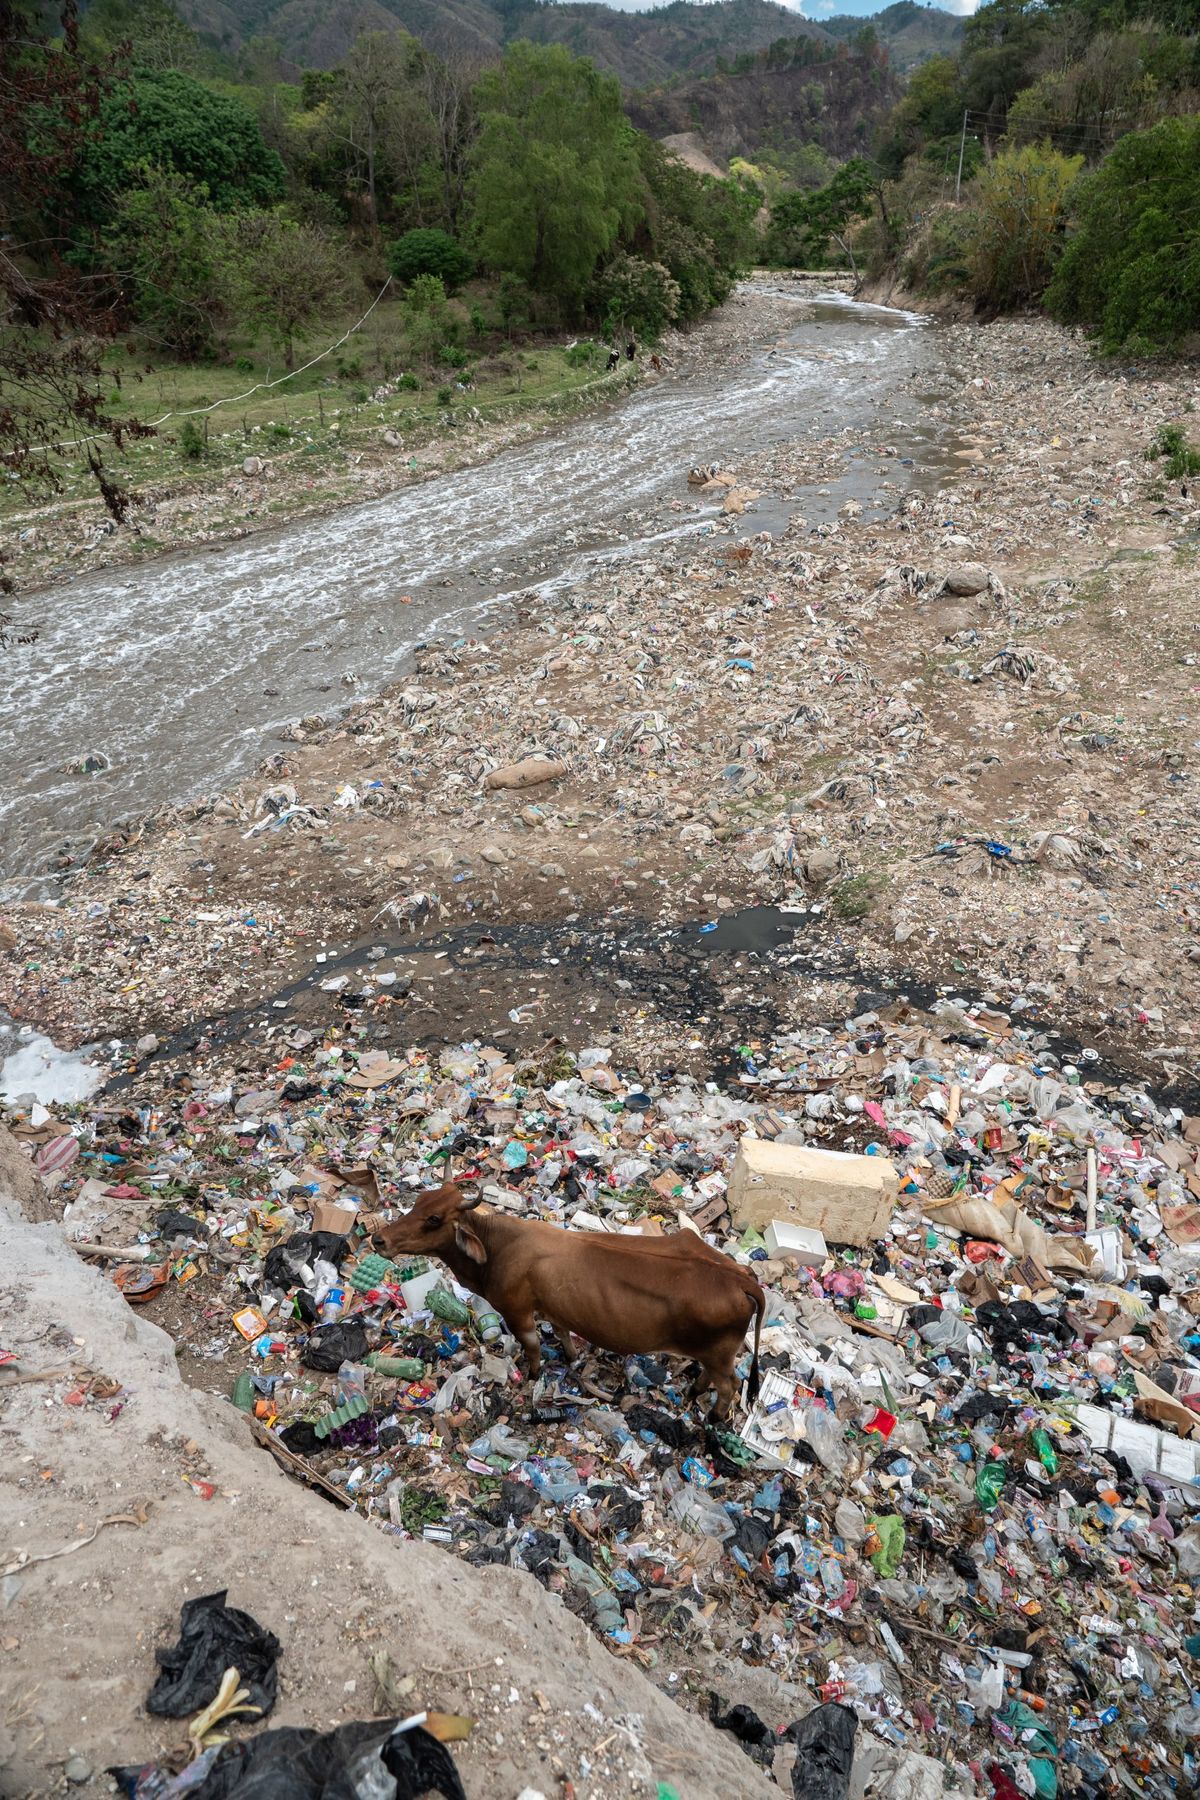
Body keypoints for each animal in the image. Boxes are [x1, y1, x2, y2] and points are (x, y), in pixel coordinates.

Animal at [376, 1180, 766, 1418]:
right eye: (419, 1201)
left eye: (434, 1218)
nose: (379, 1239)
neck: (498, 1246)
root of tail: (741, 1277)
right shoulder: (554, 1307)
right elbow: (562, 1332)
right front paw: (571, 1356)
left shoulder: (516, 1310)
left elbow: (532, 1345)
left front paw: (533, 1373)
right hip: (714, 1353)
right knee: (712, 1377)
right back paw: (692, 1393)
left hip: (719, 1354)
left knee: (730, 1386)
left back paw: (713, 1418)